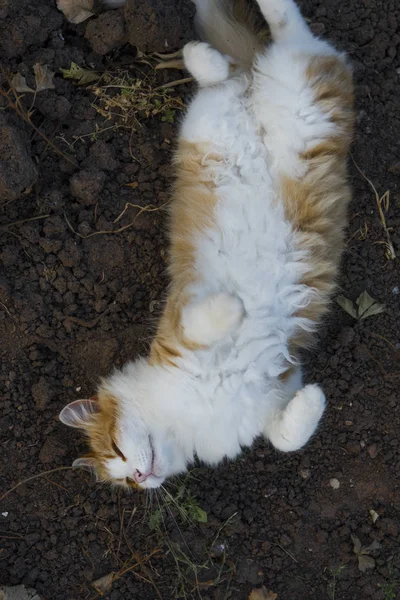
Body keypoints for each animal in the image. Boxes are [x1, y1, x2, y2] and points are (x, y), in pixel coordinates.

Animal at [58, 0, 354, 490]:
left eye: (117, 449)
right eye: (125, 483)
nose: (139, 474)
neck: (187, 419)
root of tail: (258, 85)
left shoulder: (181, 321)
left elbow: (203, 321)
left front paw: (235, 309)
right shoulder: (279, 385)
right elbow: (286, 436)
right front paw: (314, 402)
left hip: (293, 93)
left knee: (284, 37)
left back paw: (208, 48)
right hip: (226, 113)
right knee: (233, 72)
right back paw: (206, 57)